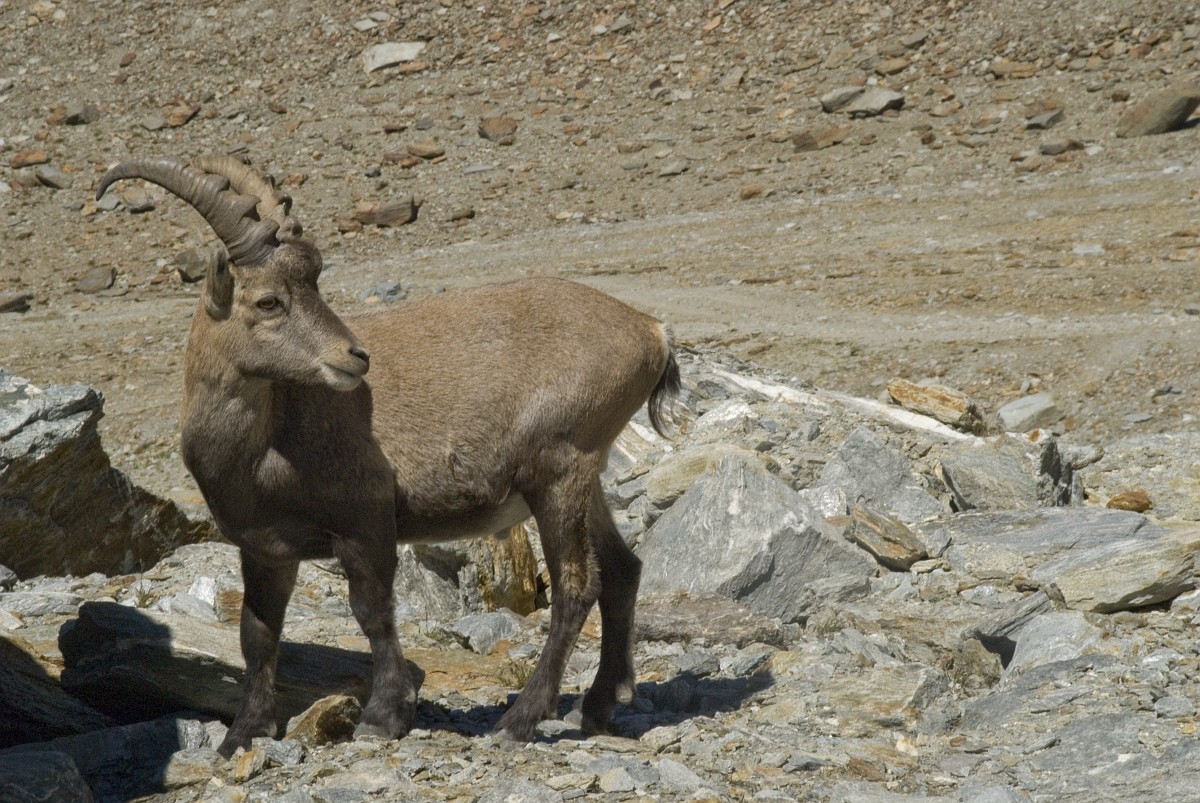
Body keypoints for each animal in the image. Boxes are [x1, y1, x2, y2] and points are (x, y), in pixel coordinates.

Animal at [95, 155, 680, 757]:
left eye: (312, 286)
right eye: (269, 301)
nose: (355, 357)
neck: (264, 445)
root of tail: (651, 331)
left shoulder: (365, 520)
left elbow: (372, 611)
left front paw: (383, 715)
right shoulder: (265, 549)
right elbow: (257, 635)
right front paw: (244, 732)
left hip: (560, 470)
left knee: (576, 586)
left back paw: (519, 720)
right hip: (587, 474)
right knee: (623, 569)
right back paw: (600, 705)